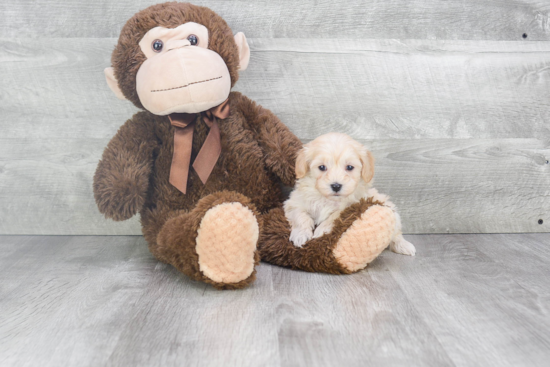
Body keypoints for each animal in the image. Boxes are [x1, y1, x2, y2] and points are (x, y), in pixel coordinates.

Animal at [284, 132, 418, 256]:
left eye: (349, 167)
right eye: (322, 167)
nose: (336, 186)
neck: (330, 199)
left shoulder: (354, 203)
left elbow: (336, 214)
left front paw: (322, 230)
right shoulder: (293, 202)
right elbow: (300, 216)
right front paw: (301, 235)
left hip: (392, 211)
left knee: (396, 234)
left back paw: (404, 245)